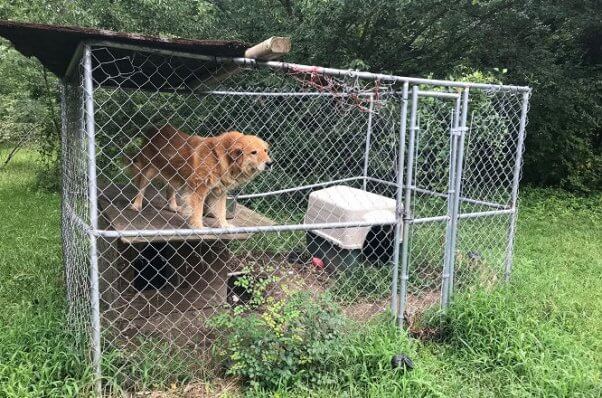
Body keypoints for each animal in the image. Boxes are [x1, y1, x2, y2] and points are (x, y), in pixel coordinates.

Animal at [130, 126, 274, 229]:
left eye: (265, 151)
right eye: (254, 152)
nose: (270, 163)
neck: (221, 158)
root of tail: (155, 129)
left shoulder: (219, 192)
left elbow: (221, 212)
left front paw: (225, 226)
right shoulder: (199, 189)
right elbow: (198, 211)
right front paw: (198, 227)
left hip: (175, 175)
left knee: (170, 190)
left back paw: (173, 206)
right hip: (148, 171)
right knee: (141, 188)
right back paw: (137, 205)